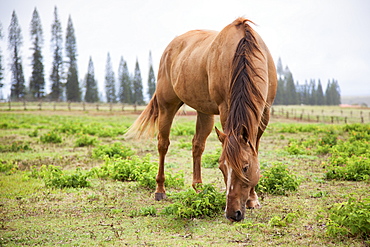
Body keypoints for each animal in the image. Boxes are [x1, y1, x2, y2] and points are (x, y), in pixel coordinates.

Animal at [125, 17, 276, 222]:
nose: (232, 213)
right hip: (167, 106)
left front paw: (253, 199)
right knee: (163, 144)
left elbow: (255, 151)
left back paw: (198, 187)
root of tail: (171, 47)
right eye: (221, 167)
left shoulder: (264, 114)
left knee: (197, 145)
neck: (244, 52)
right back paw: (160, 190)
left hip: (204, 111)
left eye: (245, 167)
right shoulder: (226, 109)